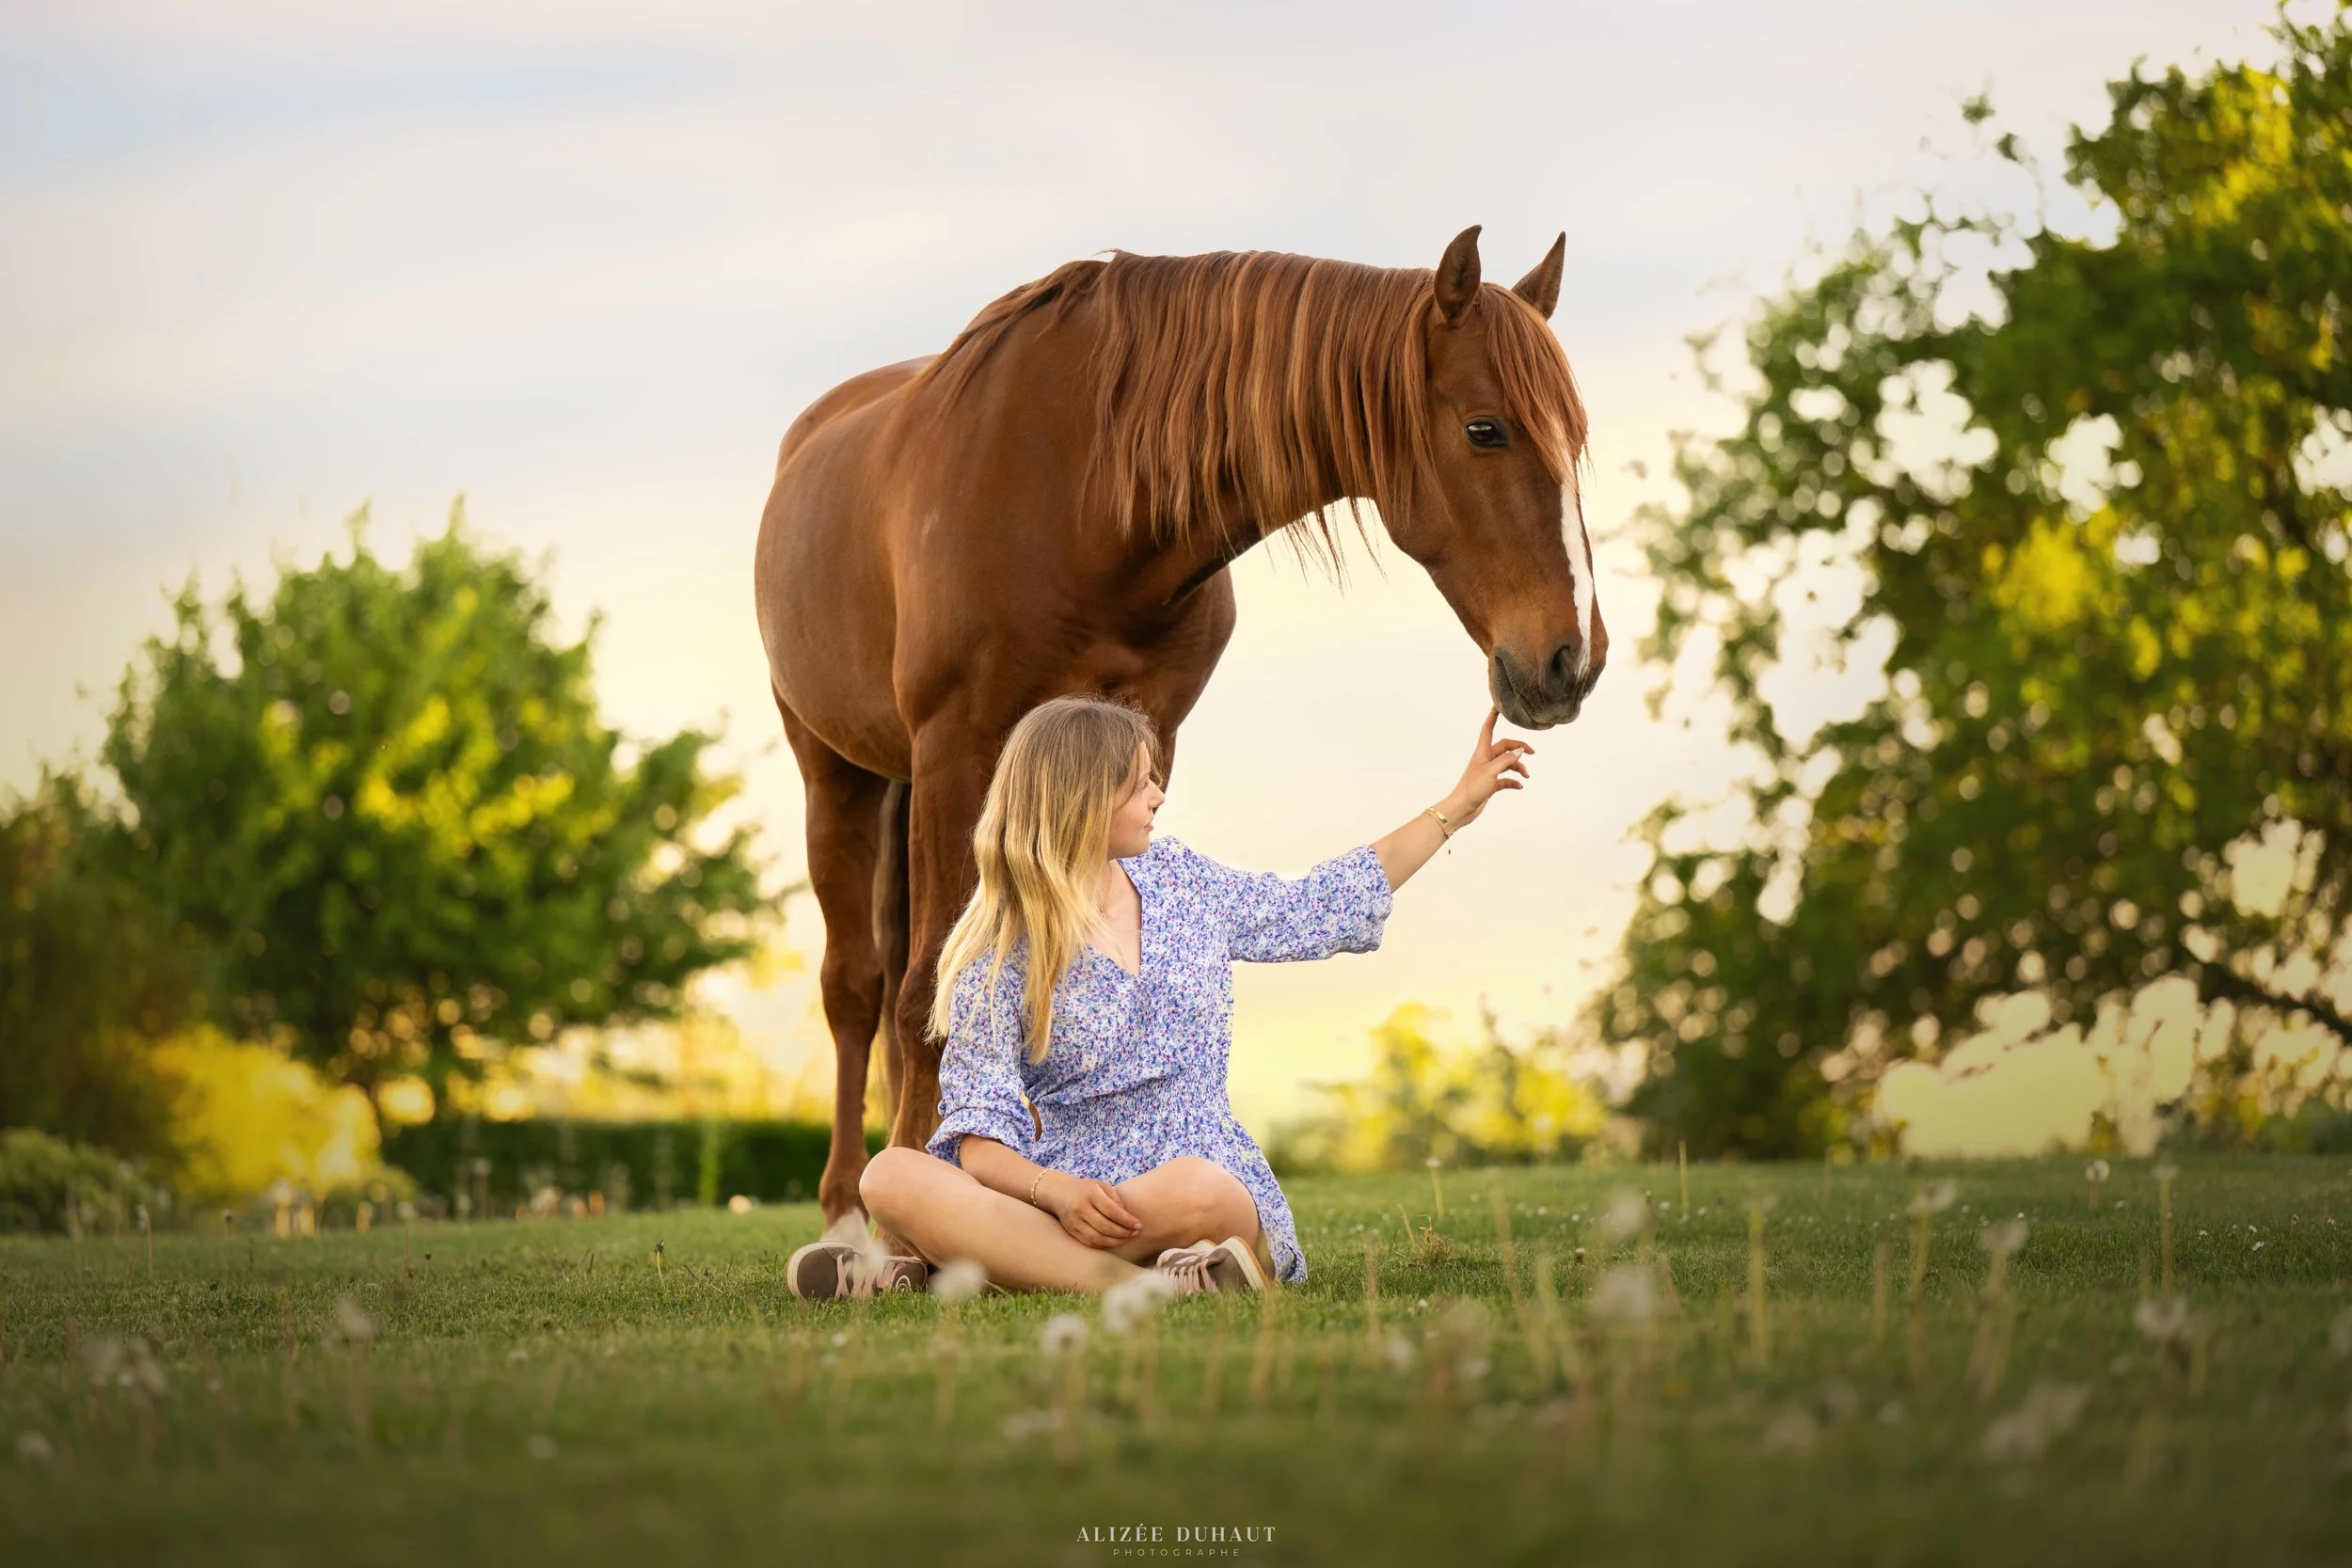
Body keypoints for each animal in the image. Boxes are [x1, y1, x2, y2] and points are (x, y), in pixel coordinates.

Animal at [753, 225, 1606, 1235]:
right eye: (1485, 429)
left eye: (1576, 439)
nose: (1571, 660)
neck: (1086, 494)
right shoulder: (957, 744)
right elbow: (930, 986)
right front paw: (907, 1230)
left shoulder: (1147, 743)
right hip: (834, 770)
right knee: (857, 987)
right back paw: (848, 1214)